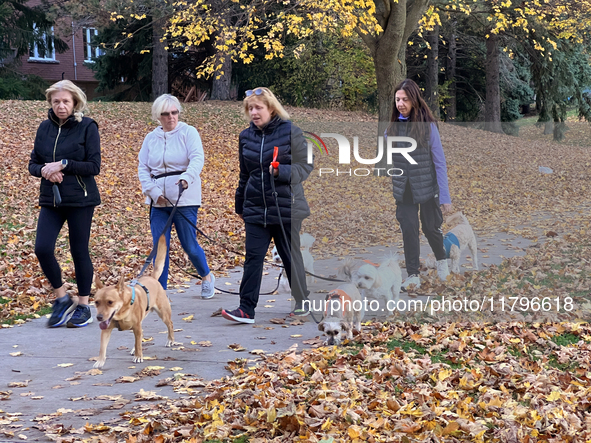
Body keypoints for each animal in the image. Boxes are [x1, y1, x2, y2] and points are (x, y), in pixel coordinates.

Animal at [93, 236, 173, 372]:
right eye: (96, 302)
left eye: (110, 302)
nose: (99, 317)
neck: (121, 312)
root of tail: (152, 278)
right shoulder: (106, 329)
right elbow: (102, 348)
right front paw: (100, 361)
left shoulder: (136, 326)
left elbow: (138, 343)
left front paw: (138, 356)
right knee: (140, 336)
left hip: (163, 314)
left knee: (169, 325)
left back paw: (170, 340)